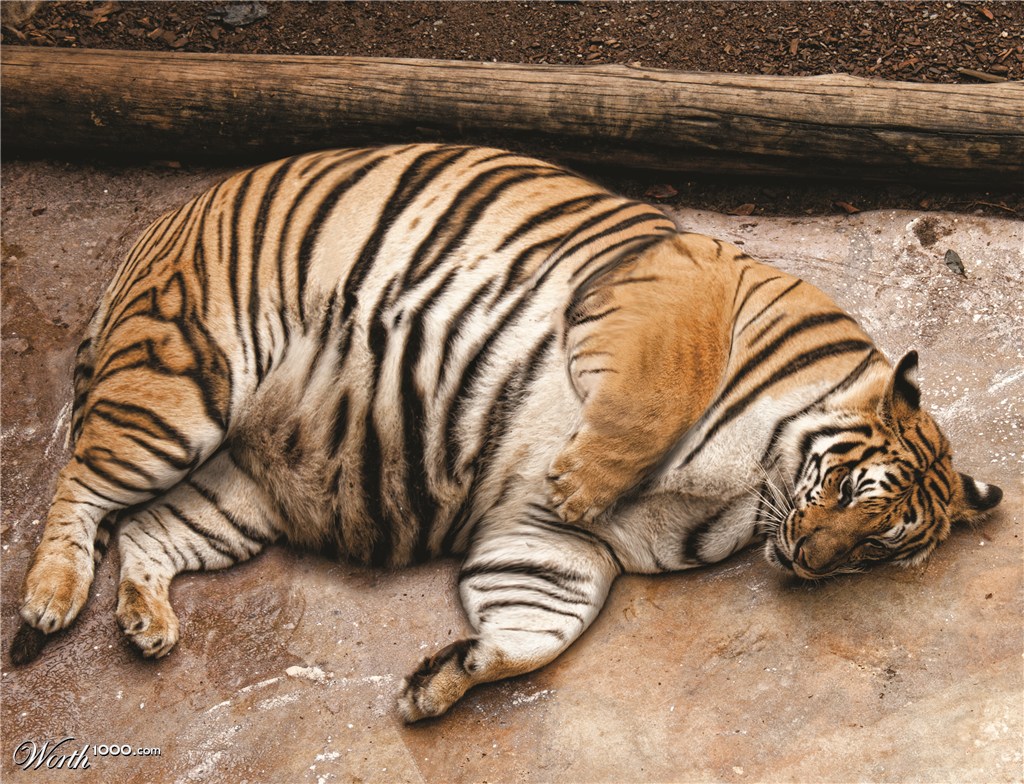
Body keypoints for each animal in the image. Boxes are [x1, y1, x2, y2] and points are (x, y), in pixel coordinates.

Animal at [11, 144, 1003, 723]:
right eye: (845, 490)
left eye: (879, 548)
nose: (809, 561)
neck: (755, 489)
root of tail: (156, 230)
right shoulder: (672, 285)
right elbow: (659, 388)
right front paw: (583, 477)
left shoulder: (557, 548)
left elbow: (537, 626)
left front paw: (441, 679)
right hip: (181, 389)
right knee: (79, 486)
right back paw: (50, 599)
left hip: (238, 491)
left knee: (145, 531)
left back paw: (145, 622)